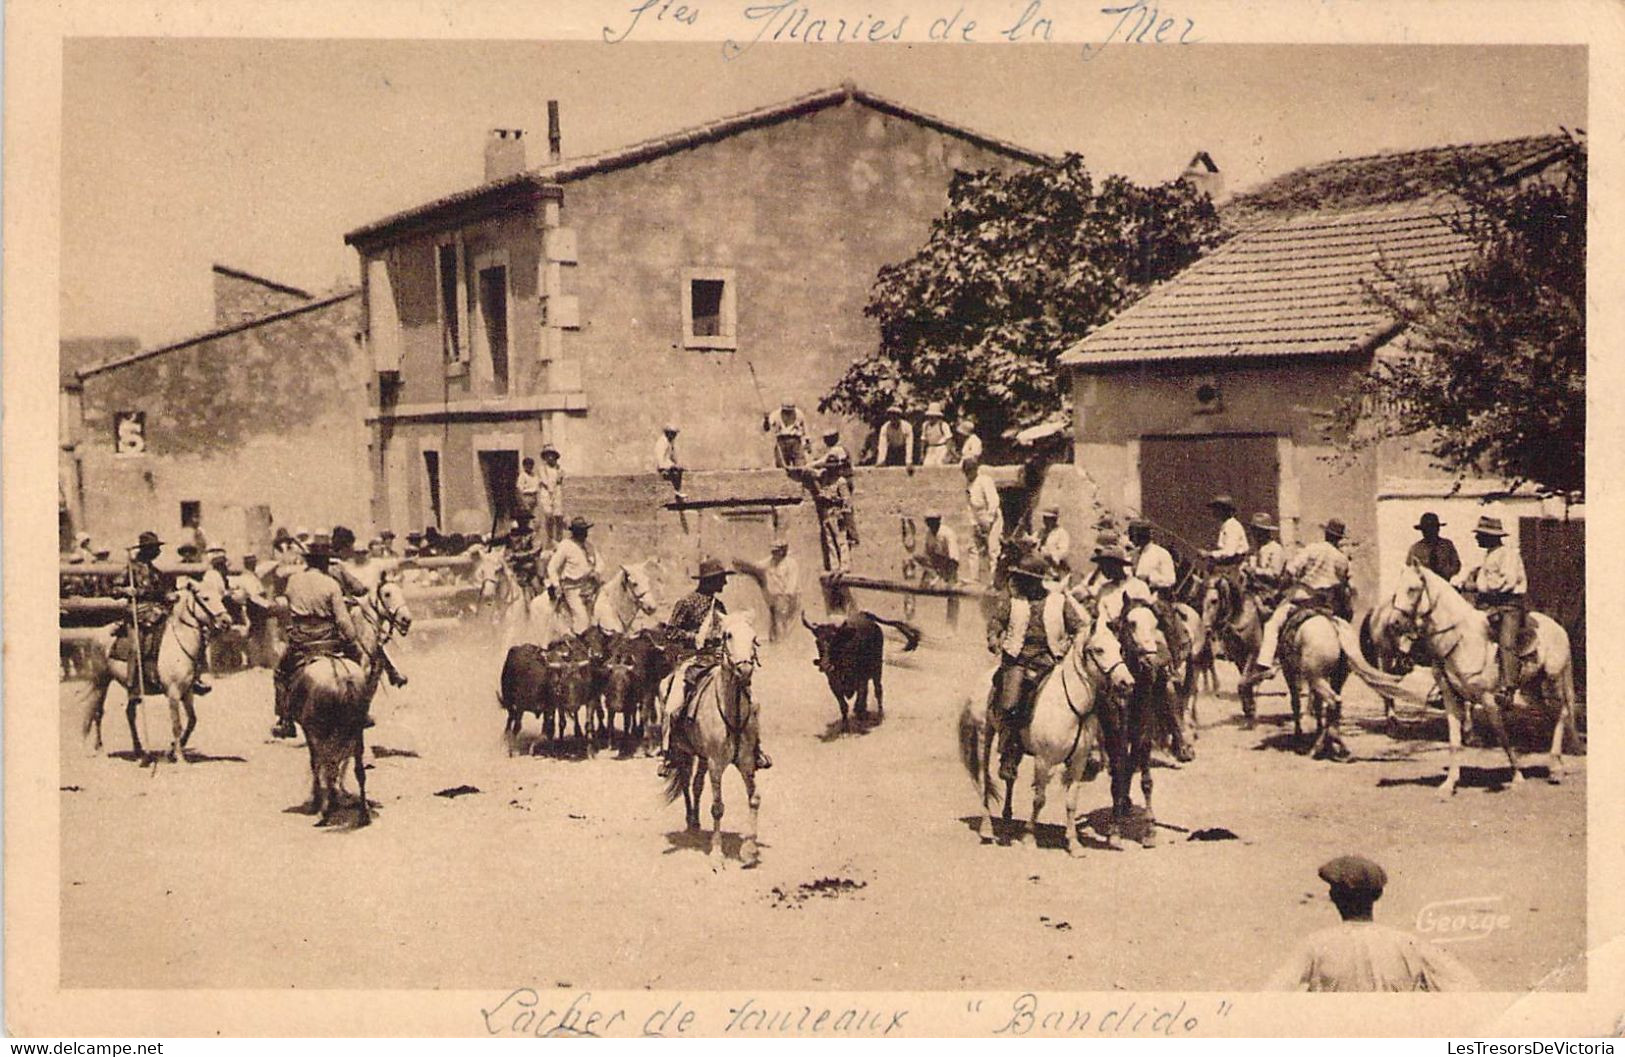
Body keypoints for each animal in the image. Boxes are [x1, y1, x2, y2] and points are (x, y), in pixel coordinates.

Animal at [1384, 559, 1573, 790]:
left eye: (1412, 589)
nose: (1394, 624)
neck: (1460, 639)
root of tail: (1559, 628)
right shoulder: (1451, 698)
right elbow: (1454, 742)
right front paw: (1449, 784)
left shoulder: (1488, 698)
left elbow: (1502, 737)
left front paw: (1517, 776)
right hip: (1532, 689)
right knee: (1551, 716)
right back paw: (1555, 764)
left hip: (1554, 679)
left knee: (1562, 713)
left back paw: (1556, 770)